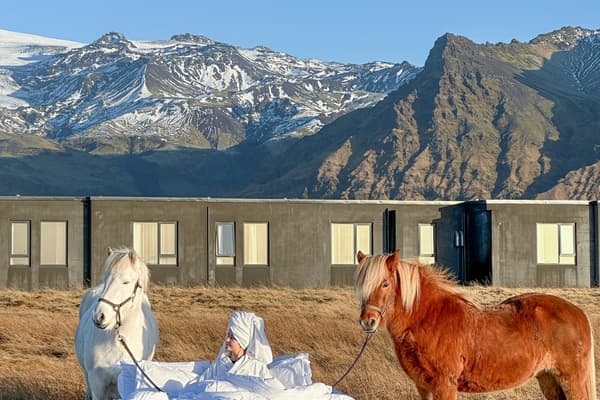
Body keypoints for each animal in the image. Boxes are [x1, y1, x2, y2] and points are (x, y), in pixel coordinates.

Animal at [355, 250, 596, 400]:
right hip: (549, 380)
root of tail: (578, 312)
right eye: (361, 285)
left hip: (572, 380)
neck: (429, 318)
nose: (368, 321)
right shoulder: (423, 387)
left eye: (385, 284)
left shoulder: (445, 385)